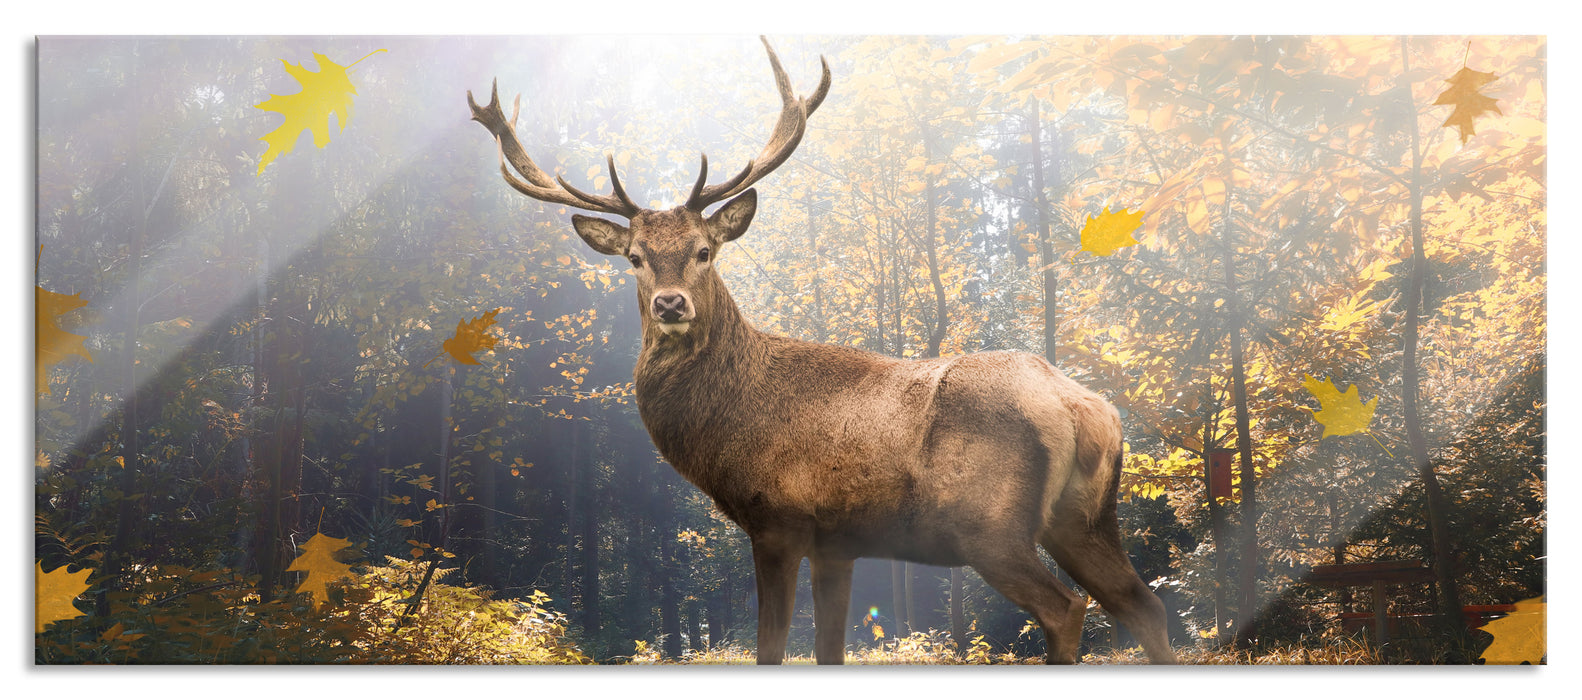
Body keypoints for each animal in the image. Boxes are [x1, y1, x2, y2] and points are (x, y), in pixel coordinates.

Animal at [467, 37, 1176, 665]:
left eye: (704, 250)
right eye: (636, 258)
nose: (671, 305)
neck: (725, 428)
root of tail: (1083, 407)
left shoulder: (777, 518)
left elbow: (773, 649)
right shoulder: (839, 543)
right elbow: (829, 649)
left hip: (990, 524)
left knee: (1067, 609)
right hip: (1083, 518)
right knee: (1144, 604)